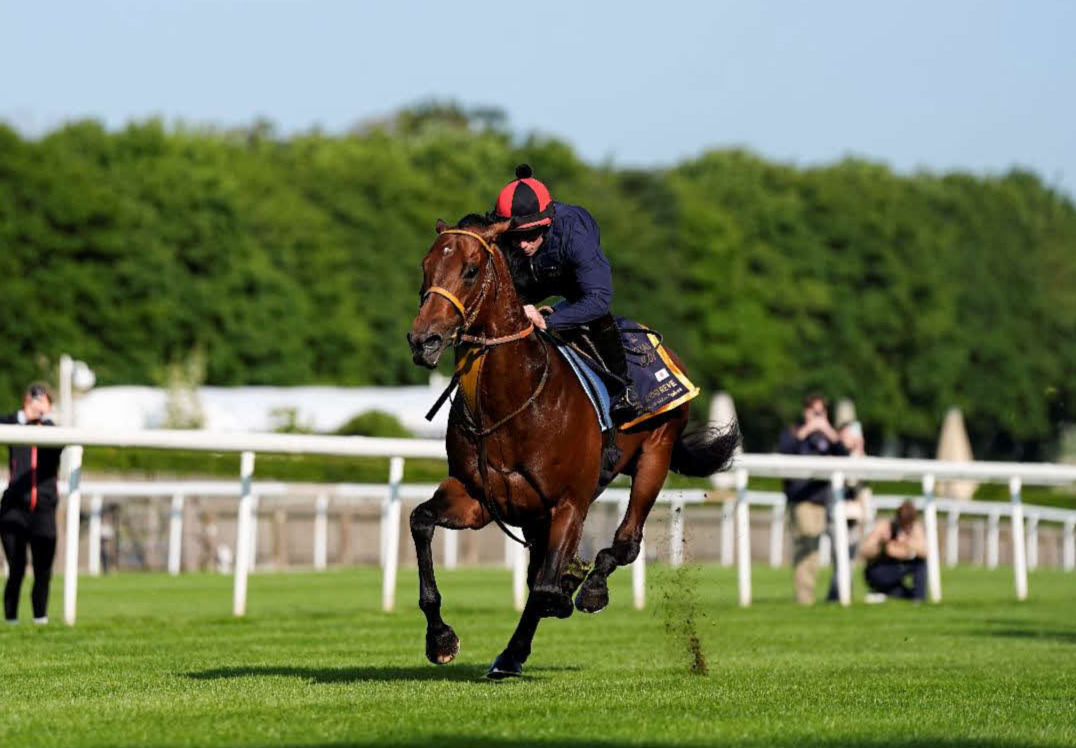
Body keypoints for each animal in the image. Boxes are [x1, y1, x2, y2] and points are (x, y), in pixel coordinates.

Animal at [406, 215, 739, 679]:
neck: (513, 400)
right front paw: (440, 638)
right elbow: (421, 522)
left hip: (656, 453)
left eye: (470, 270)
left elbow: (545, 587)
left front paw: (517, 645)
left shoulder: (567, 503)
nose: (424, 340)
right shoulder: (478, 498)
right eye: (426, 265)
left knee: (626, 542)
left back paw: (591, 587)